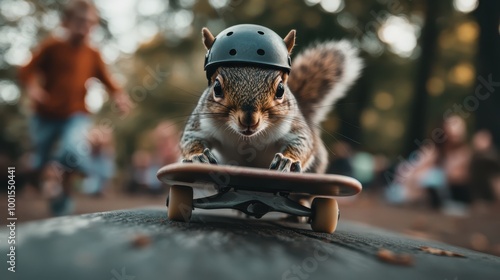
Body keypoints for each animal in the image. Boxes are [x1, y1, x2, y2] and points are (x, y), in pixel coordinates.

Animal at [182, 24, 362, 173]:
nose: (250, 120)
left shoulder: (294, 125)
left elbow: (301, 143)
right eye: (217, 88)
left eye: (281, 90)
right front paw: (198, 155)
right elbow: (190, 139)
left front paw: (287, 160)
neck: (247, 139)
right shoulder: (200, 123)